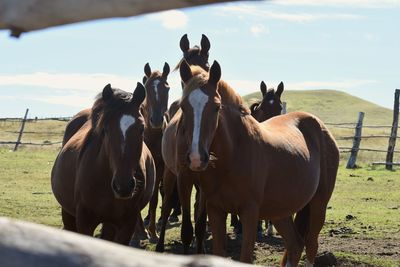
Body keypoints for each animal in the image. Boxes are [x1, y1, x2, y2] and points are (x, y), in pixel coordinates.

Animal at [50, 84, 156, 247]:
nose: (123, 186)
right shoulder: (85, 221)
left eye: (142, 128)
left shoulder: (127, 224)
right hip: (68, 213)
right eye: (105, 129)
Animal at [175, 59, 338, 266]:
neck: (233, 154)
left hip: (319, 204)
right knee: (295, 244)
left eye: (216, 107)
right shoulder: (216, 210)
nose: (196, 157)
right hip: (281, 211)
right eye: (183, 106)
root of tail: (318, 125)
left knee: (311, 245)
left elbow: (245, 257)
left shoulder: (249, 213)